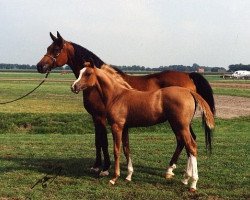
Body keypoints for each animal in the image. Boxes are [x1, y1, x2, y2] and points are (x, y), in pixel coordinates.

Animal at [35, 31, 215, 177]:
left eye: (56, 50)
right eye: (48, 47)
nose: (40, 66)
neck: (99, 84)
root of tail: (189, 76)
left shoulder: (101, 118)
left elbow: (104, 141)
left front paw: (105, 168)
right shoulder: (95, 117)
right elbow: (97, 141)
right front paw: (96, 166)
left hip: (178, 122)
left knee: (184, 140)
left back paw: (172, 169)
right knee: (188, 140)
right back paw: (183, 170)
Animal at [71, 62, 215, 192]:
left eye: (88, 73)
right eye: (80, 72)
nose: (73, 87)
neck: (117, 96)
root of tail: (189, 91)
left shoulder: (116, 127)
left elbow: (117, 150)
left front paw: (114, 178)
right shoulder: (125, 127)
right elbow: (126, 148)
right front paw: (129, 175)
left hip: (181, 126)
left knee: (191, 146)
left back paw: (192, 183)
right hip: (179, 126)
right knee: (188, 145)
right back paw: (185, 178)